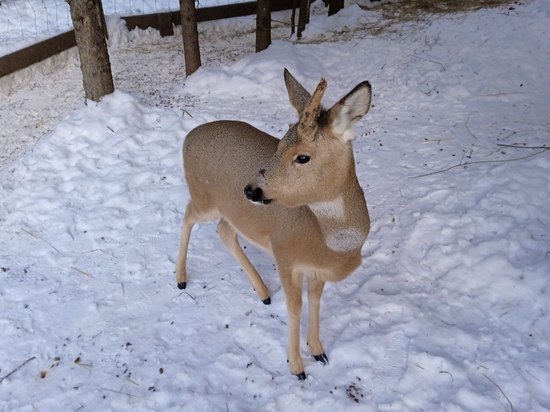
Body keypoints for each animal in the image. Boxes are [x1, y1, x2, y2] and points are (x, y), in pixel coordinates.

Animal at [177, 68, 376, 380]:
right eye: (279, 144)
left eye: (303, 156)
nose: (251, 190)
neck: (332, 243)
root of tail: (188, 137)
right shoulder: (285, 255)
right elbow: (295, 308)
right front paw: (296, 367)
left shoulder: (316, 270)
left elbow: (315, 302)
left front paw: (318, 350)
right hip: (203, 197)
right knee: (187, 215)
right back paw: (181, 279)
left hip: (230, 210)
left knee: (224, 230)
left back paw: (263, 292)